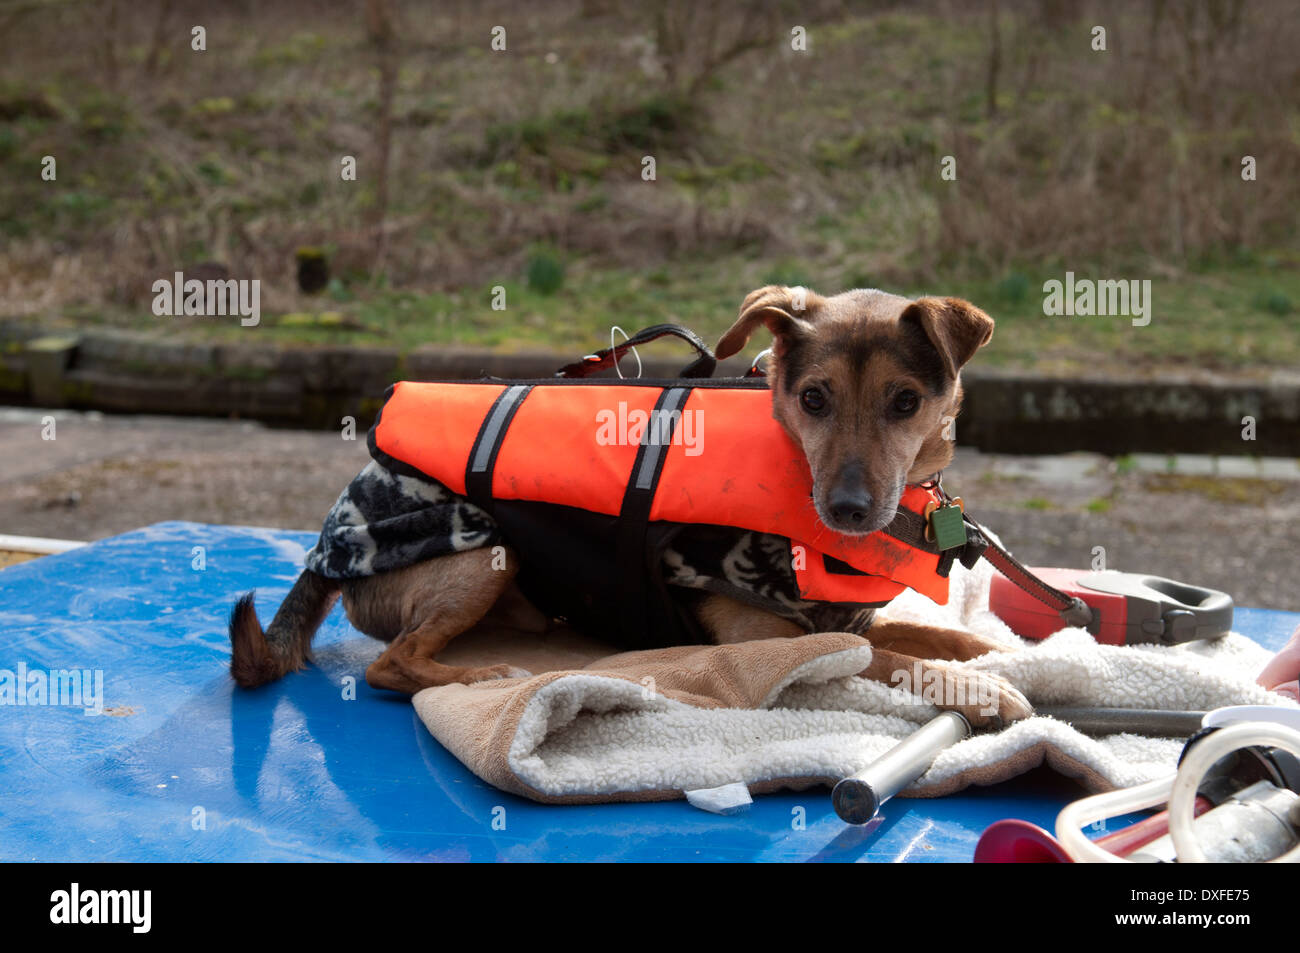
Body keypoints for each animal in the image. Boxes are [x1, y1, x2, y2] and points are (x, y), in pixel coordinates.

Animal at [228, 286, 1029, 722]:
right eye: (812, 398)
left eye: (906, 401)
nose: (850, 509)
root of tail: (325, 545)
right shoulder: (772, 640)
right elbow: (884, 654)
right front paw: (981, 689)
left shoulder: (842, 617)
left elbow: (922, 633)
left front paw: (992, 653)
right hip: (481, 553)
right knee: (390, 663)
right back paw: (475, 676)